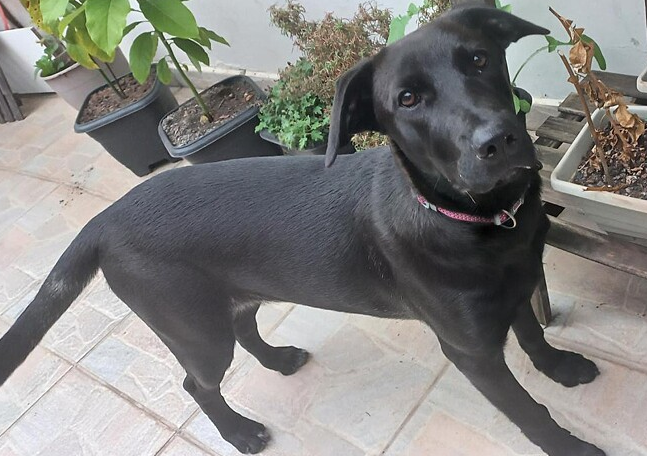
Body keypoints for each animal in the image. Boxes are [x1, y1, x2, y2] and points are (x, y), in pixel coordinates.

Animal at [1, 4, 608, 456]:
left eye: (480, 59)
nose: (498, 140)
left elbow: (533, 336)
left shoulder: (518, 284)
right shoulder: (471, 351)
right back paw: (239, 432)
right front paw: (571, 447)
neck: (479, 221)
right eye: (408, 99)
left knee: (245, 329)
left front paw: (559, 366)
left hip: (233, 296)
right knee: (196, 383)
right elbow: (529, 411)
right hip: (194, 329)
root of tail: (104, 218)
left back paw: (277, 361)